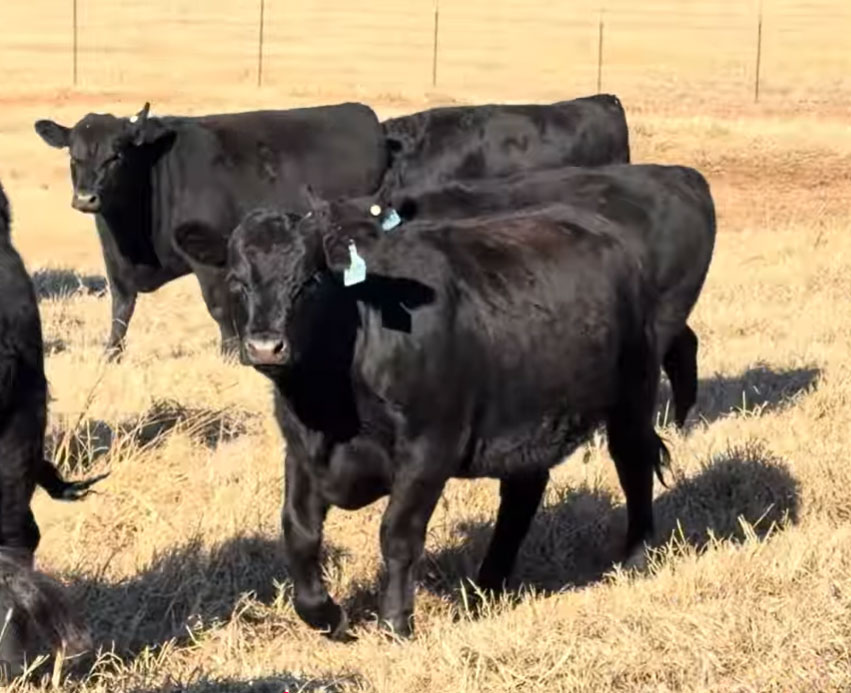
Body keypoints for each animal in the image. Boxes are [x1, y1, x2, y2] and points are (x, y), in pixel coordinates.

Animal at [33, 101, 388, 361]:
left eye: (115, 156)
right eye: (73, 156)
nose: (85, 198)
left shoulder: (208, 258)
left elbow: (218, 307)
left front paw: (230, 353)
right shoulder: (115, 261)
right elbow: (121, 308)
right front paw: (111, 354)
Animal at [173, 190, 671, 640]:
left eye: (310, 281)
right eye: (237, 281)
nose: (265, 346)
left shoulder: (429, 448)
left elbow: (397, 533)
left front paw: (395, 622)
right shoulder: (301, 450)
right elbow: (298, 532)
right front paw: (326, 616)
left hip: (633, 392)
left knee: (633, 464)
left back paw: (635, 558)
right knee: (522, 494)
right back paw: (486, 586)